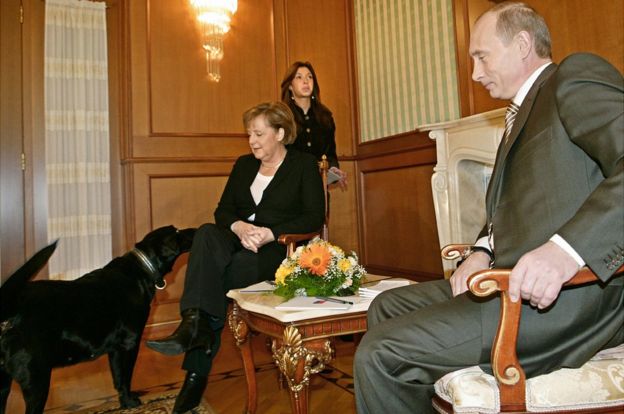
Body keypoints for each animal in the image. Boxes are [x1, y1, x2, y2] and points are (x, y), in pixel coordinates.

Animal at [0, 226, 195, 414]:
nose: (195, 229)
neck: (140, 270)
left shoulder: (115, 349)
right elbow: (126, 376)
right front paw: (131, 402)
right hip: (36, 378)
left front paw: (124, 403)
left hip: (5, 382)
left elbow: (118, 378)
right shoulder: (130, 343)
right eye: (177, 232)